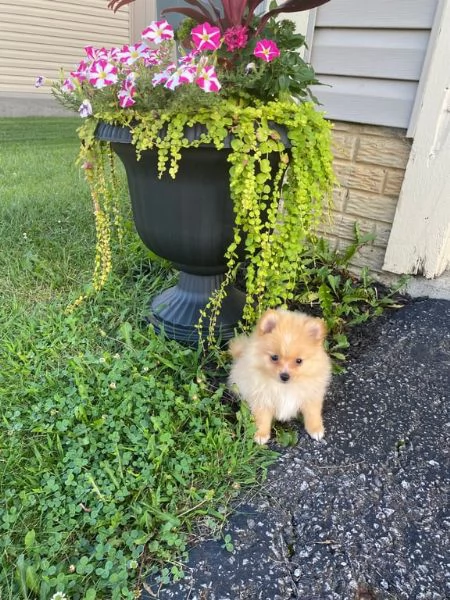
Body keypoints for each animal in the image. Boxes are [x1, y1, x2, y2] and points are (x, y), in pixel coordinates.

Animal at [229, 310, 330, 446]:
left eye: (299, 361)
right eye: (274, 357)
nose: (285, 376)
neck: (284, 387)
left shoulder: (311, 395)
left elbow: (312, 413)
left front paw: (316, 429)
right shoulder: (261, 398)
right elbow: (262, 418)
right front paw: (261, 434)